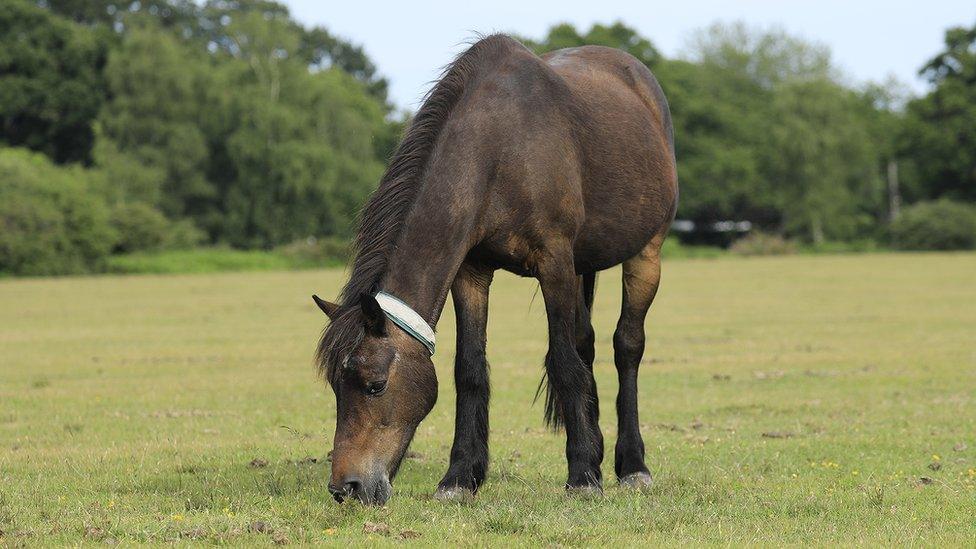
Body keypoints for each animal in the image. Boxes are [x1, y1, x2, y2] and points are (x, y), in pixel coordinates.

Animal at [314, 35, 680, 506]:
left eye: (374, 384)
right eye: (335, 385)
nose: (346, 487)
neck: (499, 150)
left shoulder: (554, 263)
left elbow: (564, 362)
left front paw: (582, 475)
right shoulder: (472, 272)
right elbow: (470, 368)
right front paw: (459, 477)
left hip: (645, 254)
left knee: (626, 346)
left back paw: (632, 465)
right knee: (587, 344)